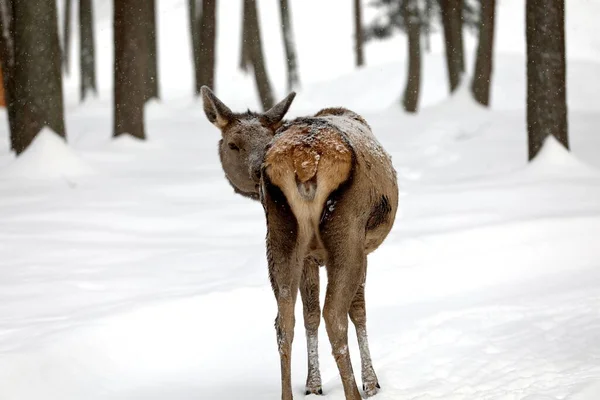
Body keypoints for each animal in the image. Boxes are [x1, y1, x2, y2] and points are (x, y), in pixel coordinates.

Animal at [202, 87, 398, 400]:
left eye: (264, 141)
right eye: (233, 144)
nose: (256, 169)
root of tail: (305, 160)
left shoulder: (307, 255)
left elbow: (309, 314)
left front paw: (313, 384)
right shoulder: (364, 247)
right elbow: (358, 311)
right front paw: (371, 383)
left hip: (280, 234)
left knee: (283, 320)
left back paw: (288, 394)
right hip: (347, 230)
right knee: (335, 315)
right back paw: (353, 392)